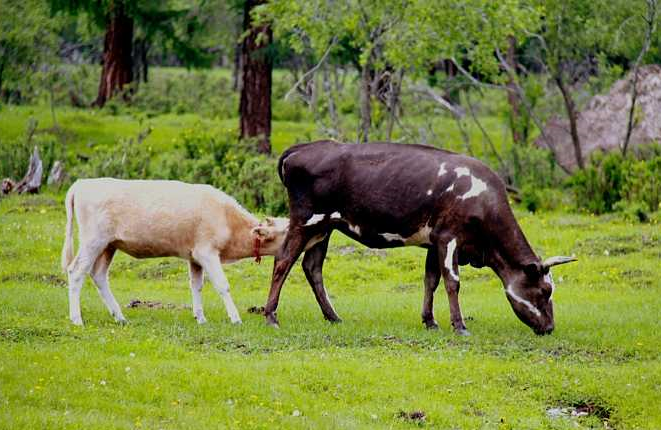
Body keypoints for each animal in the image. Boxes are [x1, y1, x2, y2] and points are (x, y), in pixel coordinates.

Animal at [61, 178, 286, 326]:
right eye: (286, 230)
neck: (228, 219)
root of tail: (82, 183)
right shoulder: (207, 252)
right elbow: (223, 285)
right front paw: (235, 318)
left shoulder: (195, 256)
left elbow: (196, 285)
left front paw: (200, 318)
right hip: (93, 240)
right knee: (77, 271)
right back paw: (77, 319)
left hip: (109, 245)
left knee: (98, 275)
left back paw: (119, 316)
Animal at [262, 141, 572, 336]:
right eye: (545, 291)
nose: (550, 328)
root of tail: (302, 148)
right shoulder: (449, 237)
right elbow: (452, 282)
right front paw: (459, 326)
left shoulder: (434, 242)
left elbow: (430, 280)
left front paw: (430, 321)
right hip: (305, 221)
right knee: (283, 261)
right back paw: (271, 316)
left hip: (324, 228)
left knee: (312, 268)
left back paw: (333, 316)